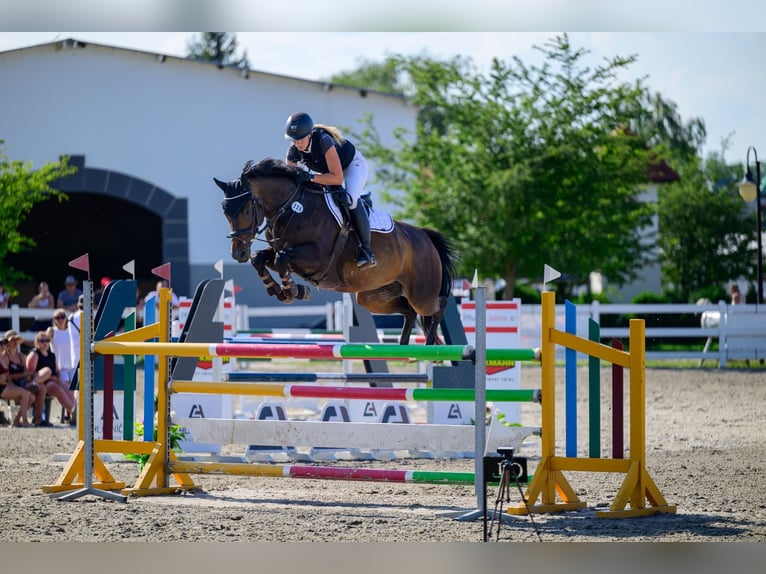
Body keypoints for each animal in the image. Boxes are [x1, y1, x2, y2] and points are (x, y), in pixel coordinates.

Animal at [214, 158, 455, 345]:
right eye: (225, 211)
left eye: (246, 209)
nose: (238, 254)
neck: (293, 207)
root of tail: (425, 236)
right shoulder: (283, 253)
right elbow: (260, 259)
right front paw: (279, 290)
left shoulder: (316, 259)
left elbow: (282, 259)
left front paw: (294, 291)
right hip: (371, 297)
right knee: (408, 311)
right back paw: (404, 349)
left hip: (421, 294)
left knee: (437, 305)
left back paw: (430, 347)